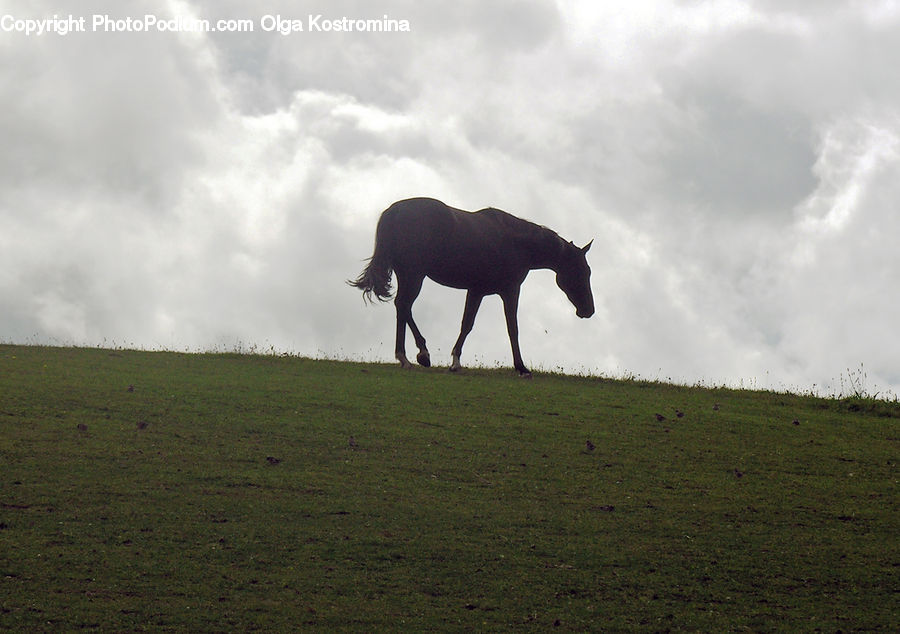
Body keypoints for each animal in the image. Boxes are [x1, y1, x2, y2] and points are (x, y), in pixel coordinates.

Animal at [348, 197, 594, 377]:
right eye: (582, 272)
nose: (589, 310)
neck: (516, 242)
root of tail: (395, 210)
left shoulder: (477, 291)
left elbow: (467, 324)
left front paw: (456, 361)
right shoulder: (510, 291)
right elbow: (512, 328)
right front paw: (522, 367)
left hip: (409, 275)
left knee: (403, 307)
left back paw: (409, 356)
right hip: (414, 274)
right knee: (404, 305)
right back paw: (418, 354)